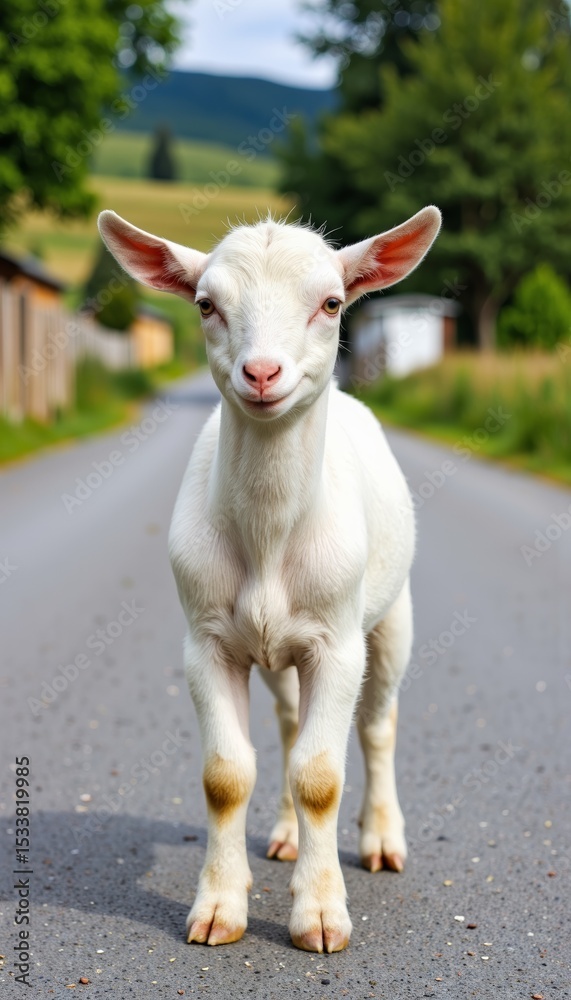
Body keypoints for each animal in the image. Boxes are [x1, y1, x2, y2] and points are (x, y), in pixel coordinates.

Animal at [98, 205, 441, 953]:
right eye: (206, 304)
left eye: (331, 302)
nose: (261, 373)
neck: (268, 538)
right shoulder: (205, 640)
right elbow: (227, 775)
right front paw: (218, 911)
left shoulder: (335, 643)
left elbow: (322, 774)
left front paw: (320, 918)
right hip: (279, 648)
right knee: (287, 727)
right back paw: (285, 836)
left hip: (391, 616)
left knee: (377, 724)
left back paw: (381, 841)